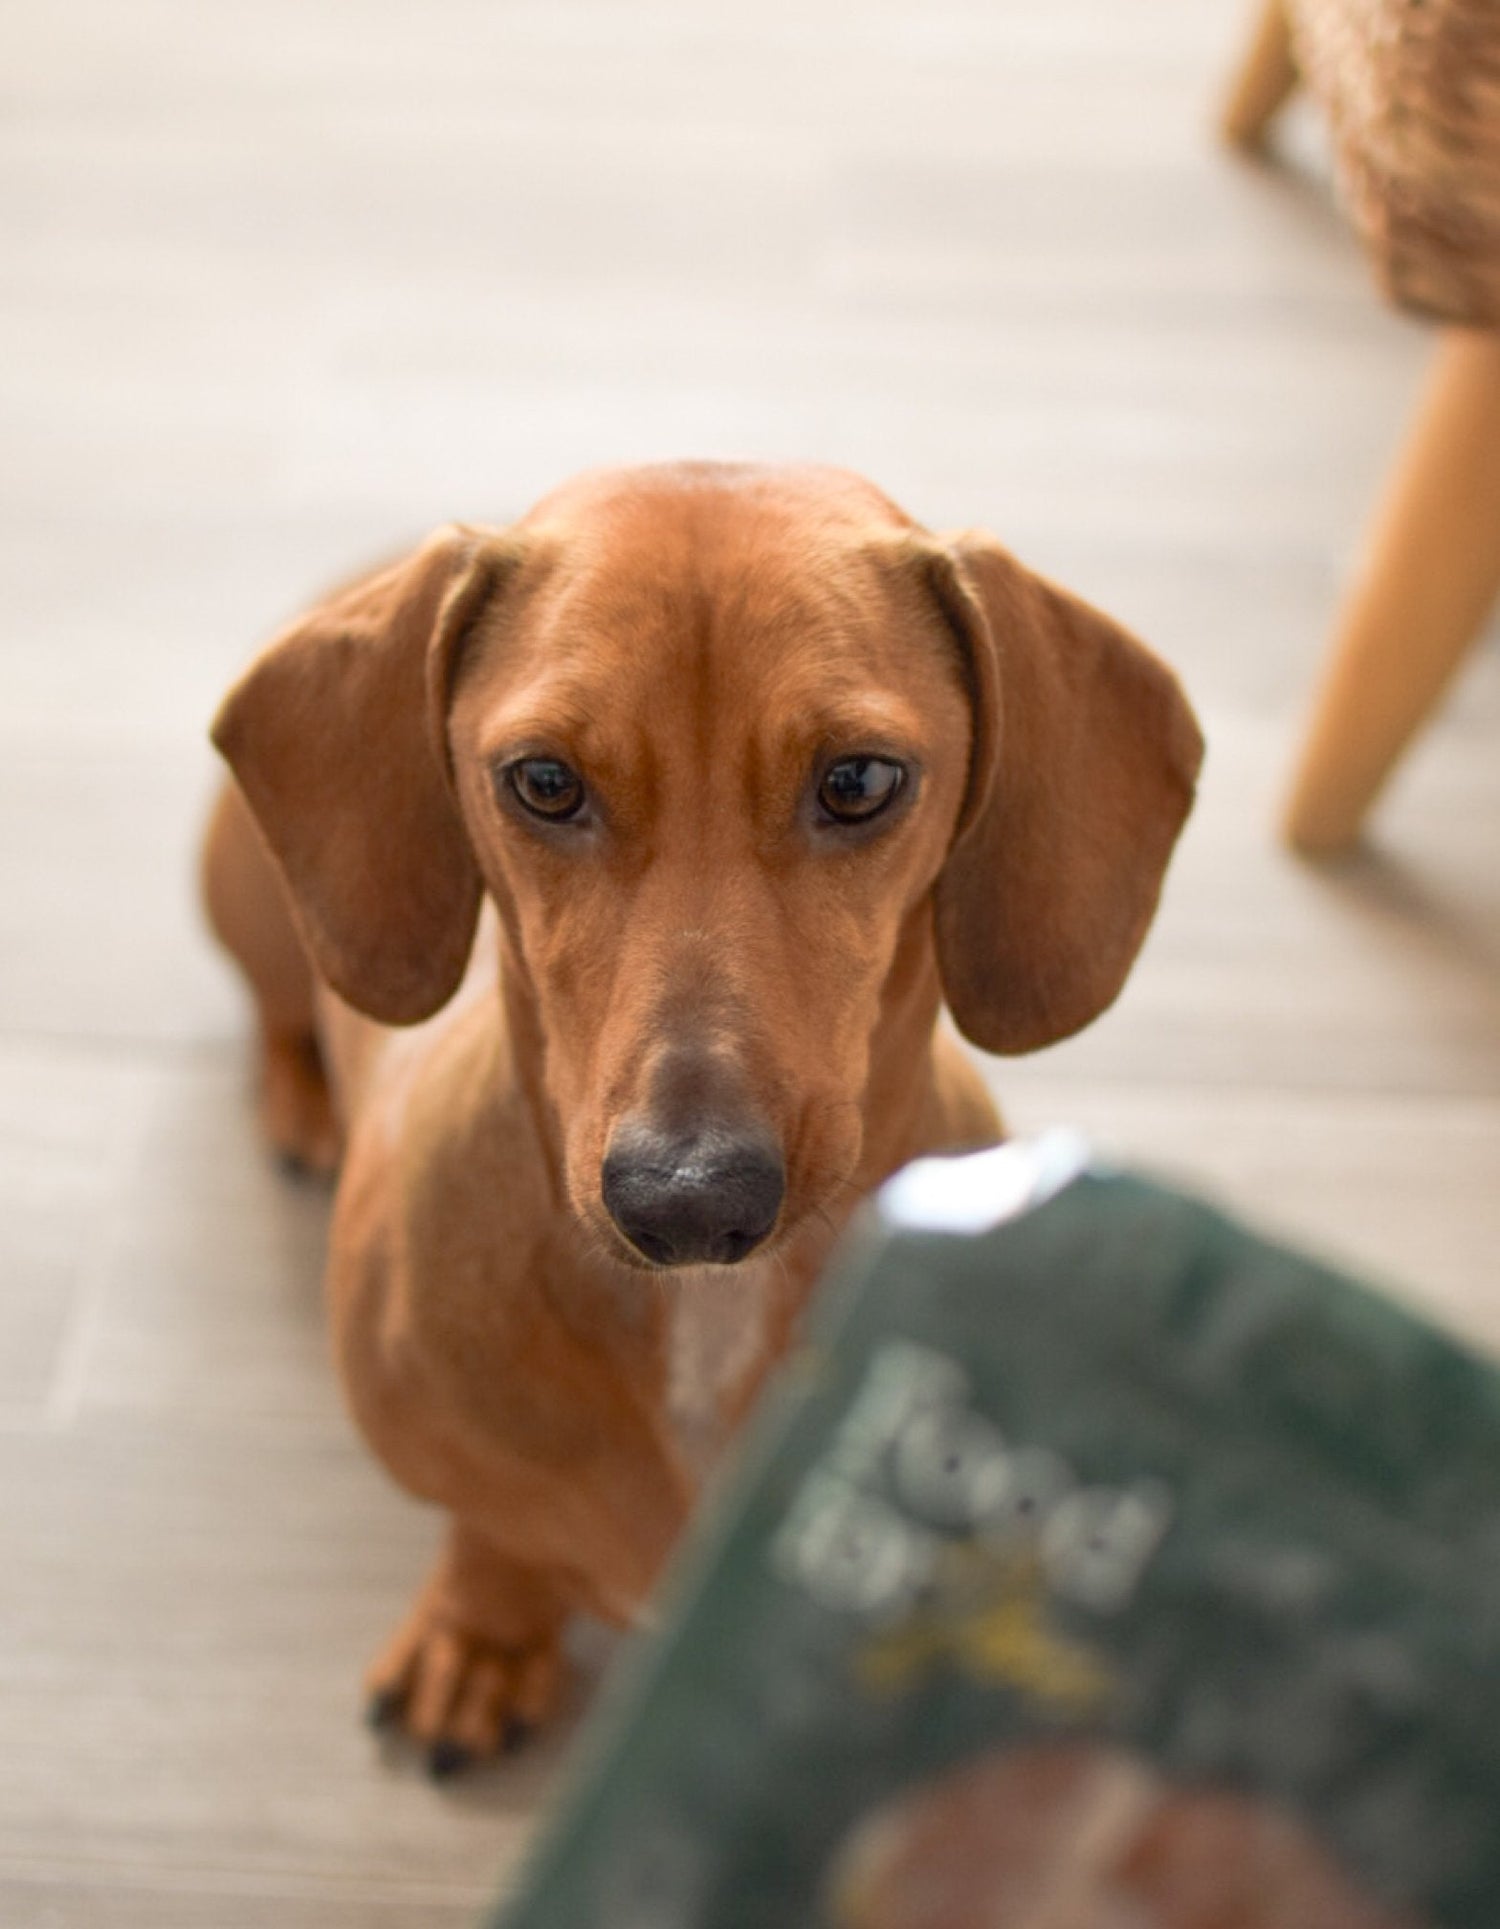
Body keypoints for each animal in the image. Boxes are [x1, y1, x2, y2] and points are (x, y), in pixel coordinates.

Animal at [201, 459, 1203, 1766]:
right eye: (543, 781)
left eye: (860, 780)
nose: (687, 1201)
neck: (703, 1324)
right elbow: (493, 1534)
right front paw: (482, 1631)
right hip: (248, 908)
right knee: (275, 1016)